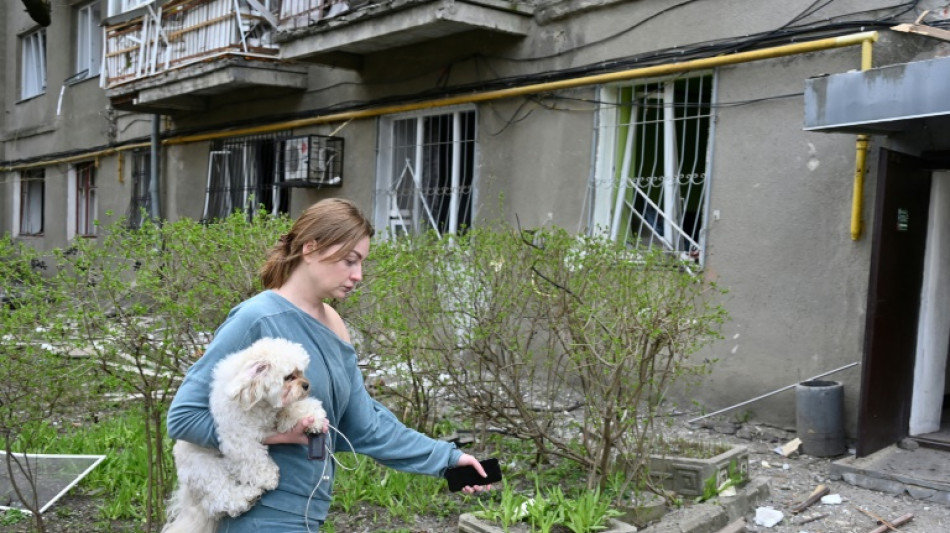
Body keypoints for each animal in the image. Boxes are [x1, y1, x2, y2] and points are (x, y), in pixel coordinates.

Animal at [164, 336, 328, 532]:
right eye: (289, 377)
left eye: (300, 372)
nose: (306, 385)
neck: (258, 399)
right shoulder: (237, 436)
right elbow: (251, 456)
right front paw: (267, 477)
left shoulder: (281, 408)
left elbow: (297, 409)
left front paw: (315, 419)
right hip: (205, 467)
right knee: (220, 498)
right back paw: (246, 497)